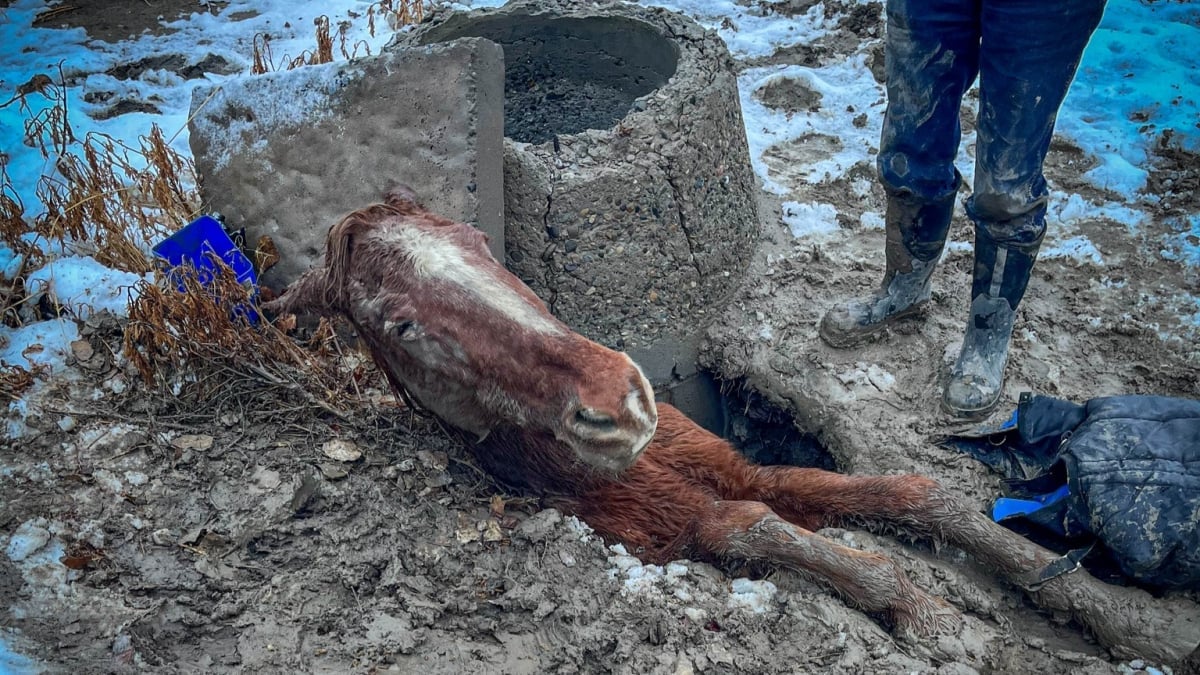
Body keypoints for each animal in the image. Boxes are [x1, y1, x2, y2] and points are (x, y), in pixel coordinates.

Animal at [267, 189, 1200, 662]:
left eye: (480, 241)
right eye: (400, 325)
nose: (620, 401)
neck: (636, 468)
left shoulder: (737, 462)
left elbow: (909, 495)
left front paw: (1121, 615)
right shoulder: (669, 523)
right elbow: (763, 529)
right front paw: (925, 612)